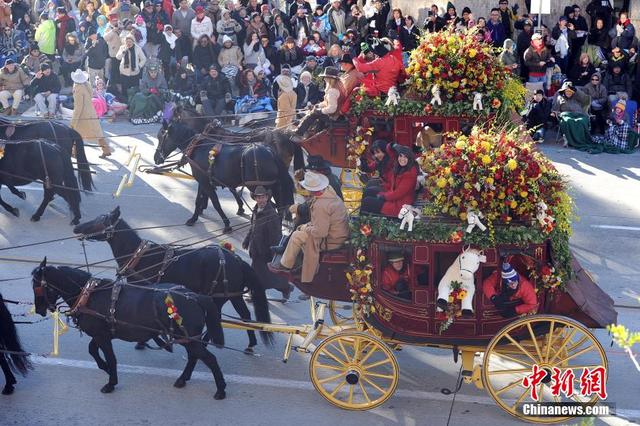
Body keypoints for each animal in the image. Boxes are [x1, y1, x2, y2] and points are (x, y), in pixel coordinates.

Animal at [32, 260, 229, 400]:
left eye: (37, 287)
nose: (40, 310)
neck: (89, 295)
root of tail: (195, 296)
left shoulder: (102, 336)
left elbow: (110, 358)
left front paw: (111, 383)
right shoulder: (101, 334)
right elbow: (92, 350)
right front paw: (104, 368)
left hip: (187, 337)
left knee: (208, 358)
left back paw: (220, 389)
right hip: (187, 338)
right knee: (194, 356)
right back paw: (183, 379)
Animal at [74, 206, 274, 350]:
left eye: (101, 220)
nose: (77, 227)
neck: (140, 256)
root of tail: (237, 259)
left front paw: (142, 342)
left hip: (222, 295)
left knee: (227, 315)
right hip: (232, 295)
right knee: (242, 315)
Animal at [156, 121, 296, 230]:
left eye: (160, 136)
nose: (156, 158)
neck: (197, 147)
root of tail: (270, 152)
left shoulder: (205, 182)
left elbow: (216, 203)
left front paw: (227, 223)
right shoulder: (203, 180)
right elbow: (198, 200)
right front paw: (194, 217)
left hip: (260, 187)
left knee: (272, 207)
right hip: (274, 186)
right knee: (279, 207)